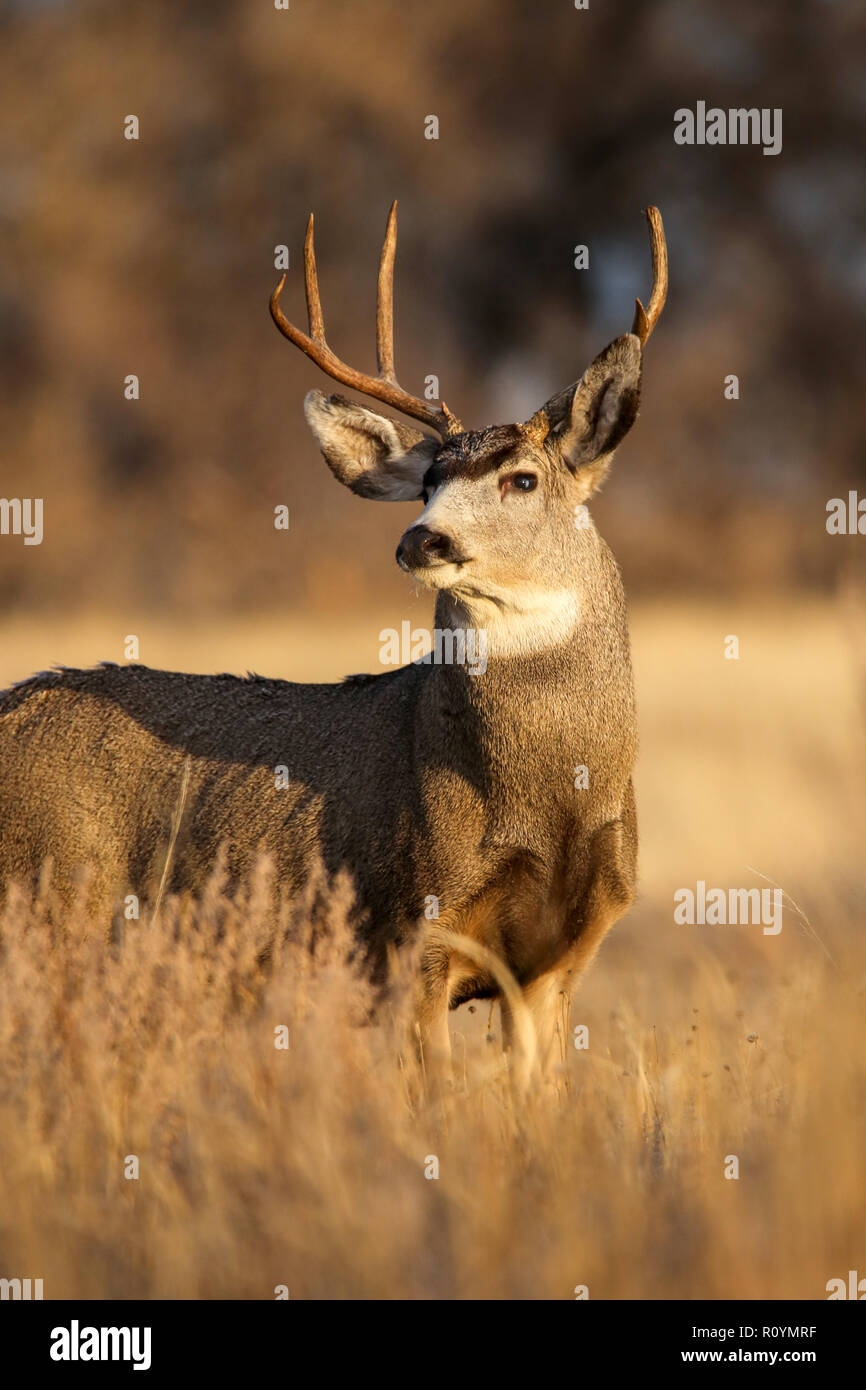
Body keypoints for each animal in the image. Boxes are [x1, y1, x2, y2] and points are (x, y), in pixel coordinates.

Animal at [0, 204, 666, 1080]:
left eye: (522, 478)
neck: (551, 800)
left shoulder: (559, 959)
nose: (422, 540)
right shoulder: (413, 925)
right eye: (428, 482)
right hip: (53, 903)